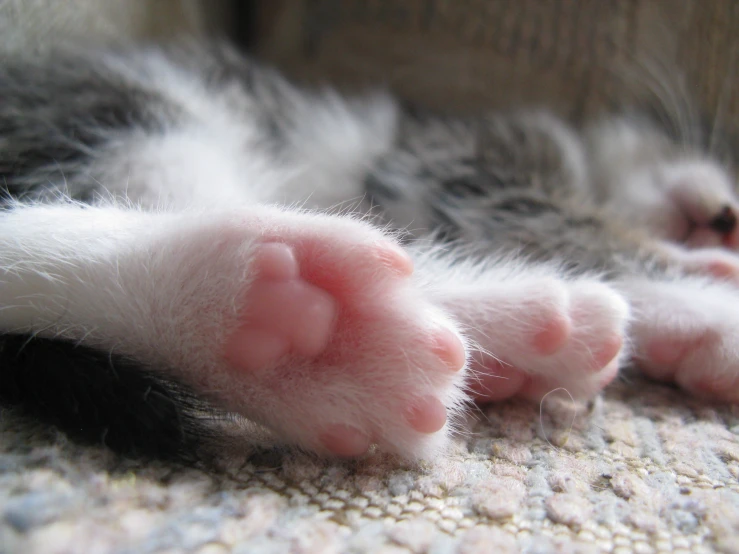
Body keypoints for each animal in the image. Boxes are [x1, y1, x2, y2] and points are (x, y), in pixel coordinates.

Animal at [0, 42, 736, 458]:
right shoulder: (460, 164)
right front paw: (708, 299)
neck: (585, 166)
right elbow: (578, 228)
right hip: (134, 115)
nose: (726, 221)